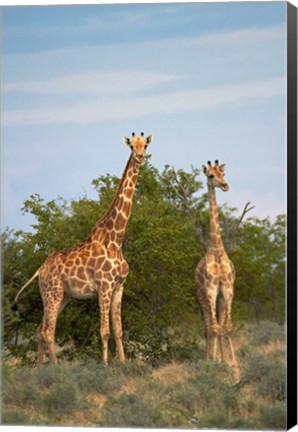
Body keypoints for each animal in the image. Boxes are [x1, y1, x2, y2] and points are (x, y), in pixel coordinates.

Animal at [14, 132, 152, 368]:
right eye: (131, 146)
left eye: (145, 145)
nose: (140, 157)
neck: (116, 239)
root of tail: (40, 270)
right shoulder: (104, 286)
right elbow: (104, 331)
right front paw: (105, 366)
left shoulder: (119, 287)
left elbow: (119, 330)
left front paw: (123, 364)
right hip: (52, 293)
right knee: (48, 330)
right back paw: (56, 369)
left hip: (63, 296)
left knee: (40, 329)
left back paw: (40, 368)